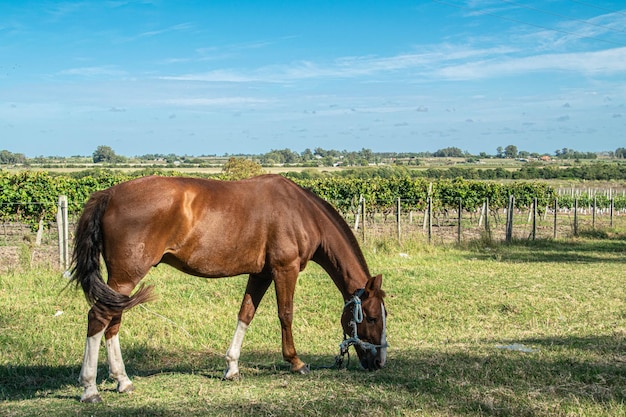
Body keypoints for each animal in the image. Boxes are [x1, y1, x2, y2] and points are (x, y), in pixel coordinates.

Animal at [70, 174, 388, 402]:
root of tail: (109, 195)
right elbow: (286, 314)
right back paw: (90, 389)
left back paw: (122, 381)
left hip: (121, 282)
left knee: (112, 322)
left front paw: (232, 367)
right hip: (127, 277)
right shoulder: (285, 269)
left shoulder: (261, 274)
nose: (379, 362)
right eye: (372, 317)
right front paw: (296, 362)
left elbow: (245, 314)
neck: (302, 211)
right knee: (98, 318)